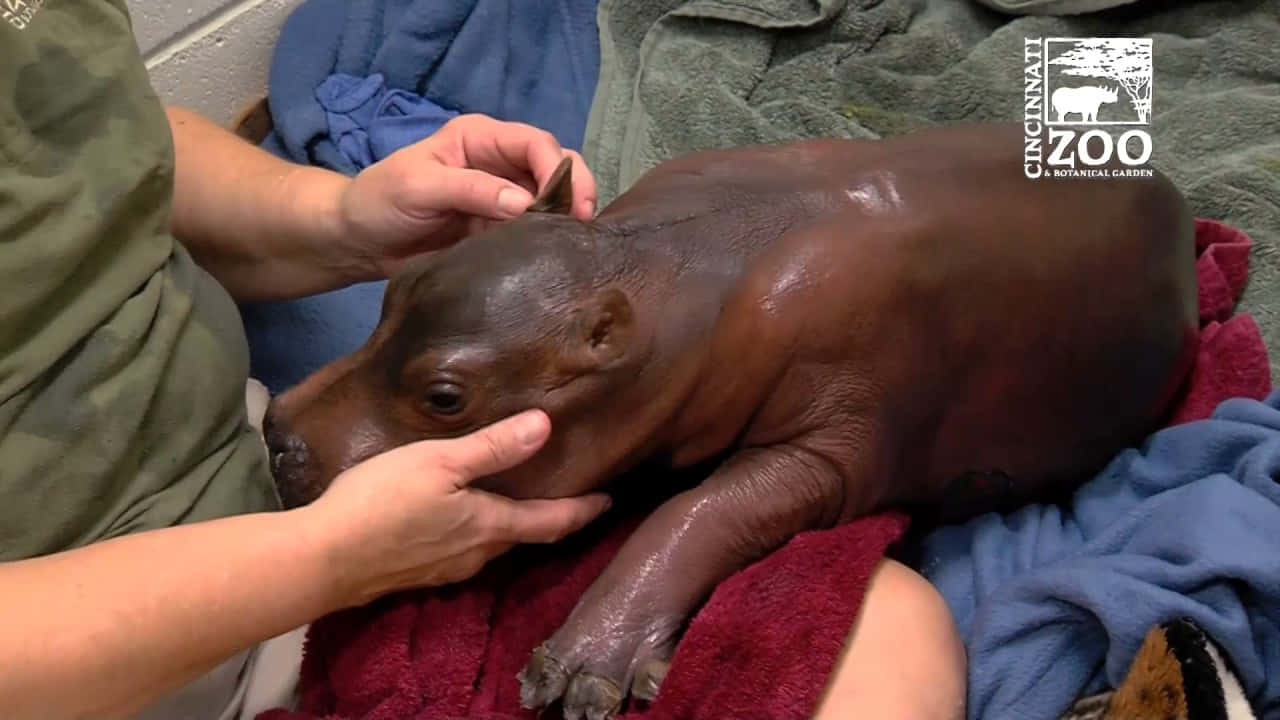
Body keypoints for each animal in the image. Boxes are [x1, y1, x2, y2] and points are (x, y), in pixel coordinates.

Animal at [263, 122, 1198, 720]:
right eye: (398, 285)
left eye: (447, 398)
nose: (277, 433)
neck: (674, 267)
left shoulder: (837, 442)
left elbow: (701, 509)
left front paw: (580, 674)